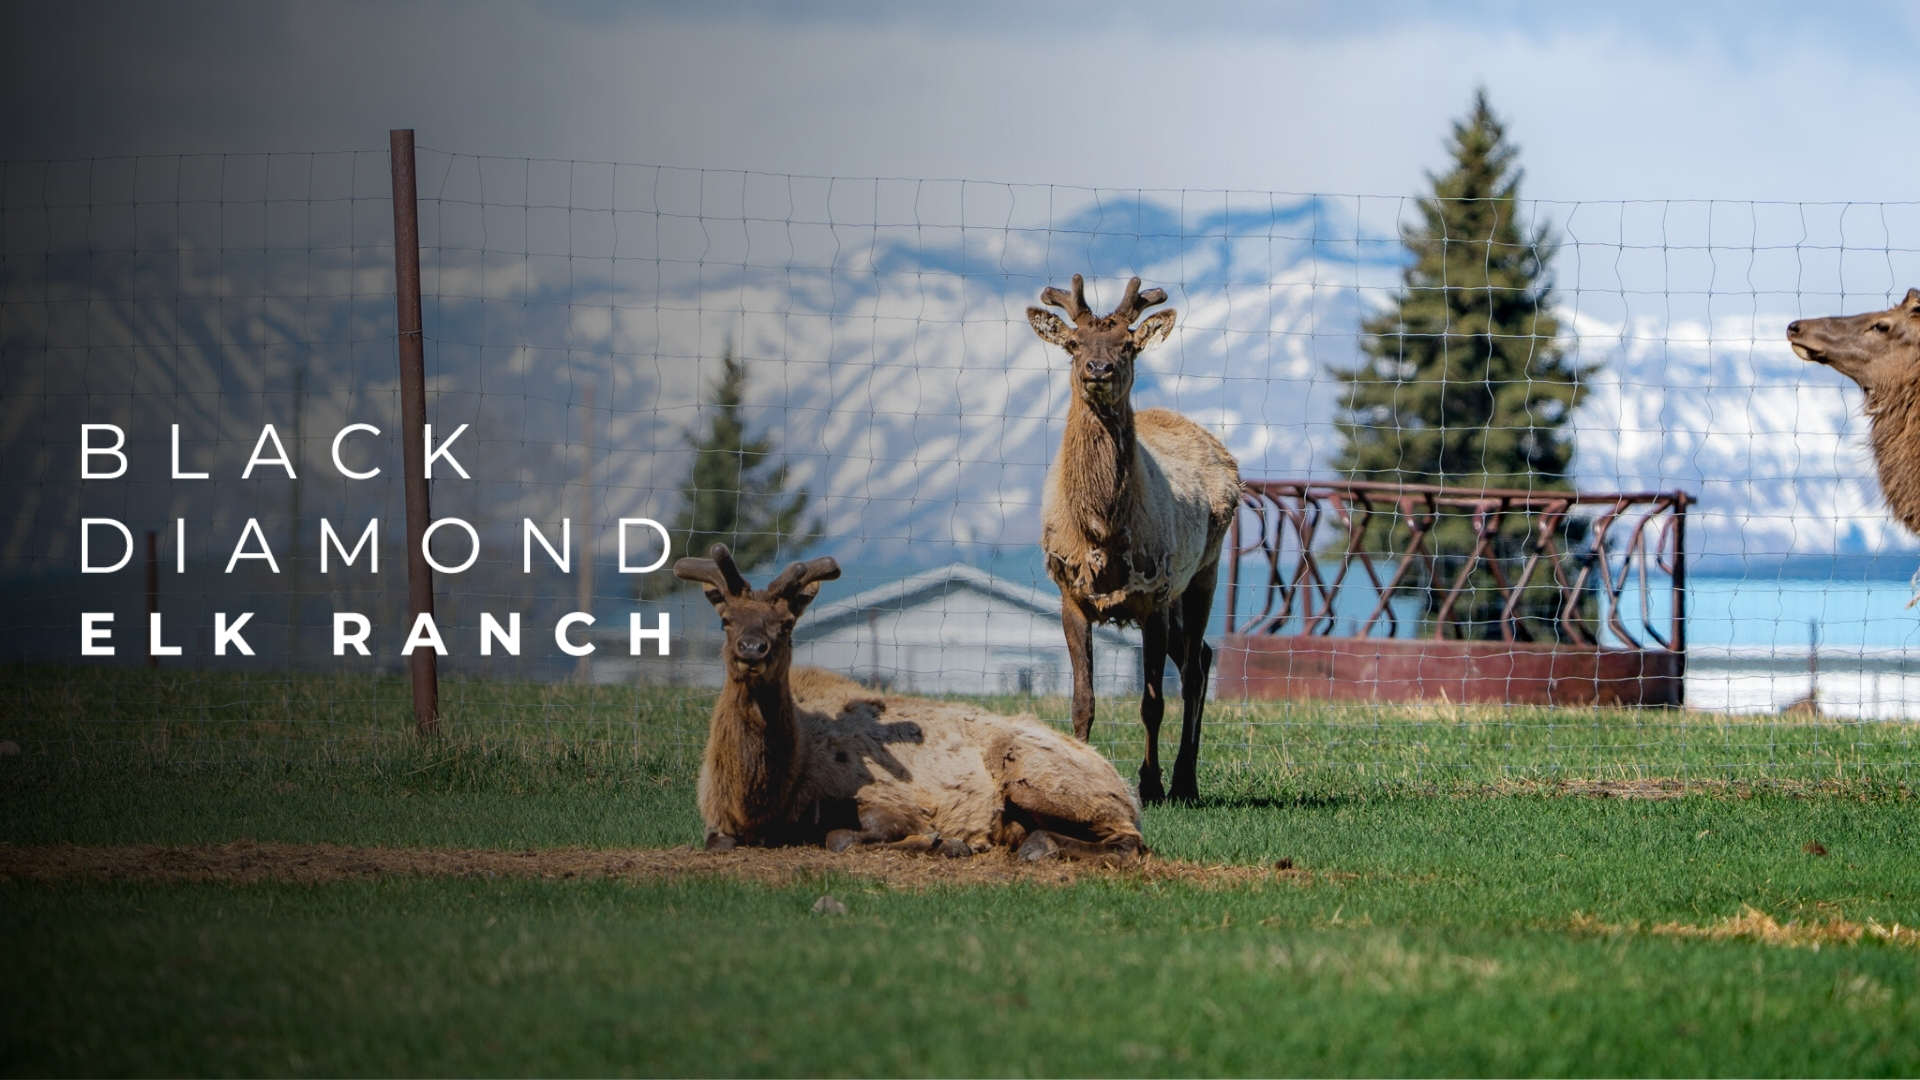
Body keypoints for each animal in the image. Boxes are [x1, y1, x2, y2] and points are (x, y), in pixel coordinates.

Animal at [674, 544, 1145, 860]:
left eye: (787, 623)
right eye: (726, 619)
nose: (752, 649)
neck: (758, 800)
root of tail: (1122, 785)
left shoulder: (891, 801)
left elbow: (840, 837)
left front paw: (941, 840)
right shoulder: (720, 823)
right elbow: (716, 842)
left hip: (1037, 776)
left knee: (1131, 840)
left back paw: (1037, 845)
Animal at [1027, 275, 1242, 803]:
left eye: (1127, 345)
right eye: (1074, 344)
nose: (1098, 369)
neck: (1103, 533)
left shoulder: (1152, 595)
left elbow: (1151, 703)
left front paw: (1150, 784)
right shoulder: (1070, 593)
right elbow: (1082, 699)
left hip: (1203, 571)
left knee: (1193, 671)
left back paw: (1185, 780)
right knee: (1200, 655)